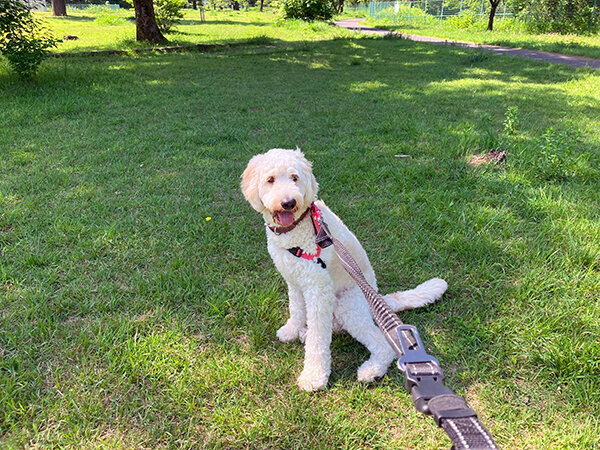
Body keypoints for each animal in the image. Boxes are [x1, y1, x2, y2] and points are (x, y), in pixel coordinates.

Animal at [240, 149, 446, 390]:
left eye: (294, 177)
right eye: (270, 179)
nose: (288, 202)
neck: (297, 231)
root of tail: (376, 299)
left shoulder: (319, 289)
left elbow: (319, 340)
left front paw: (314, 376)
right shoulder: (294, 280)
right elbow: (296, 309)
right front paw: (291, 329)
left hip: (346, 306)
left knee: (381, 343)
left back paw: (372, 370)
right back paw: (304, 332)